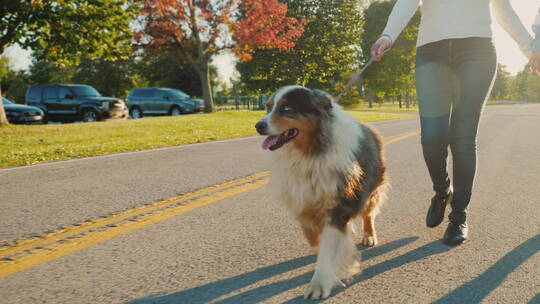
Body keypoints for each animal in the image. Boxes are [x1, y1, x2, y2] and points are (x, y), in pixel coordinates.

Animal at [256, 85, 388, 300]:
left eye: (287, 109)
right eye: (267, 107)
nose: (258, 125)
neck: (310, 152)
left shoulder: (337, 207)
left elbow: (328, 247)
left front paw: (320, 283)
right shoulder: (303, 201)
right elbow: (314, 239)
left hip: (373, 187)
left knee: (368, 213)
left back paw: (369, 236)